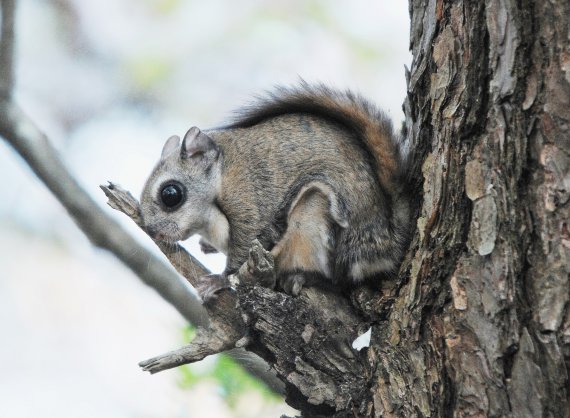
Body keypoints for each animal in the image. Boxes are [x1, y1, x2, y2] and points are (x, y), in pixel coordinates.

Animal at [140, 84, 410, 300]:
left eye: (171, 194)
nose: (152, 231)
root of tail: (387, 242)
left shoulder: (249, 197)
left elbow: (248, 244)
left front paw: (220, 279)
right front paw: (207, 246)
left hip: (316, 219)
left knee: (338, 280)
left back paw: (304, 278)